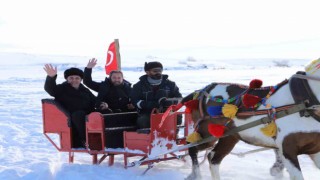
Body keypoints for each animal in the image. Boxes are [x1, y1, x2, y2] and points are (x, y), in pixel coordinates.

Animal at [184, 58, 320, 179]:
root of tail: (200, 92)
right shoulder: (288, 150)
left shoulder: (315, 150)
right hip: (206, 135)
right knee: (192, 148)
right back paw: (196, 175)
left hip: (229, 137)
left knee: (213, 158)